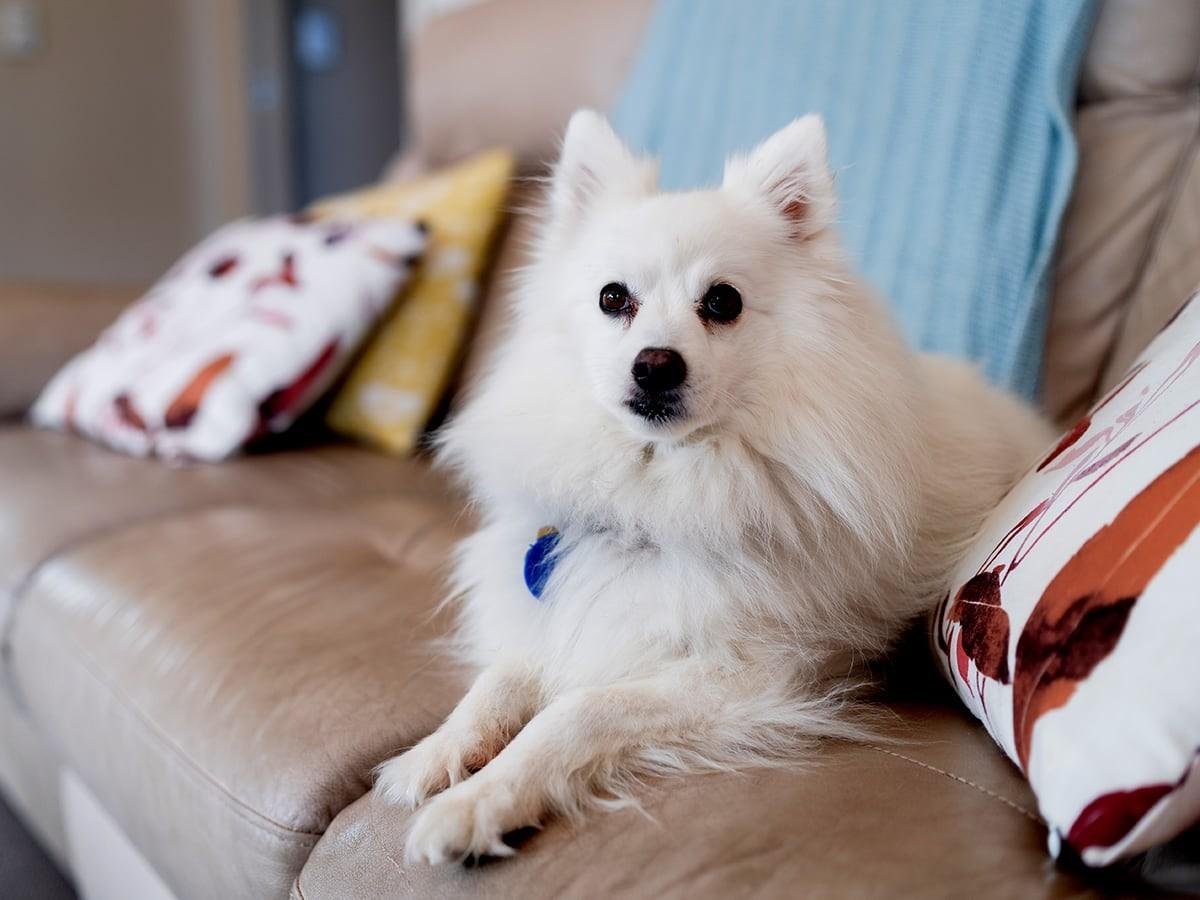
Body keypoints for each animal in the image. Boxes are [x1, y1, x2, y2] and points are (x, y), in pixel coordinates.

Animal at [374, 109, 1051, 864]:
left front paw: (480, 801)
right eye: (613, 299)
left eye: (722, 302)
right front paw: (436, 753)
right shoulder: (563, 615)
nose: (655, 363)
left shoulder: (748, 675)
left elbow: (576, 710)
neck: (661, 485)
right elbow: (499, 681)